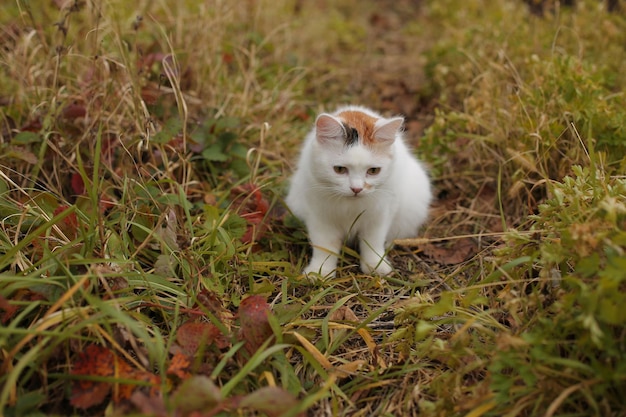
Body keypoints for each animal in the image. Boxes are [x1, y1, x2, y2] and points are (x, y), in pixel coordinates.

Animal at [286, 105, 428, 276]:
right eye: (339, 169)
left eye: (373, 171)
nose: (357, 188)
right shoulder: (319, 217)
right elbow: (325, 246)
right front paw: (320, 271)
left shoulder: (379, 215)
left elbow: (372, 242)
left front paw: (375, 266)